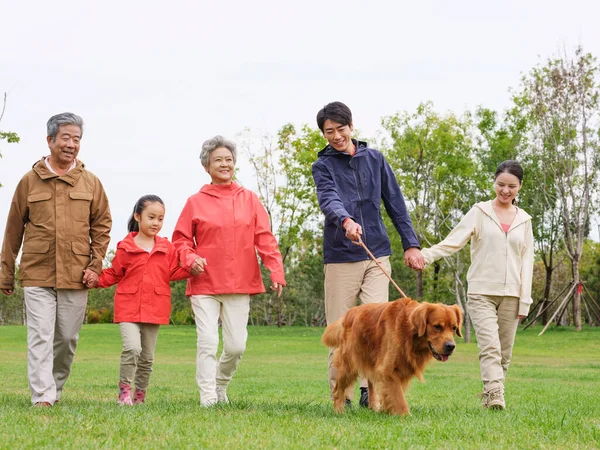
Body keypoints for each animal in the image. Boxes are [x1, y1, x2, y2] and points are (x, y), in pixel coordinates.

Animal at [322, 298, 462, 416]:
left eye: (454, 328)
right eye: (437, 326)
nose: (451, 346)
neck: (409, 333)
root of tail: (348, 314)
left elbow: (391, 394)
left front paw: (387, 410)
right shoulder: (388, 370)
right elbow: (398, 397)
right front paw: (405, 415)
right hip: (348, 366)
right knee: (338, 391)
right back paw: (339, 411)